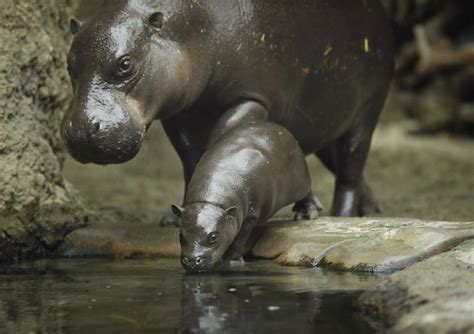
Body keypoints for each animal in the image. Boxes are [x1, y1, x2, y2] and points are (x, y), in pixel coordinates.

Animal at [64, 0, 396, 217]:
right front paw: (177, 215)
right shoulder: (180, 115)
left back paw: (341, 215)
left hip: (367, 111)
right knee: (326, 158)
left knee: (351, 168)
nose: (81, 130)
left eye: (125, 64)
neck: (188, 28)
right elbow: (190, 158)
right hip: (322, 122)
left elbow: (220, 139)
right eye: (69, 65)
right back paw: (354, 208)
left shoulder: (250, 99)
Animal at [171, 121, 322, 272]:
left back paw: (306, 214)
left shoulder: (250, 215)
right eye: (180, 236)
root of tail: (277, 126)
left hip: (300, 179)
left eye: (213, 236)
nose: (192, 261)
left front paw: (231, 263)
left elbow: (239, 241)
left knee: (308, 192)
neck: (211, 201)